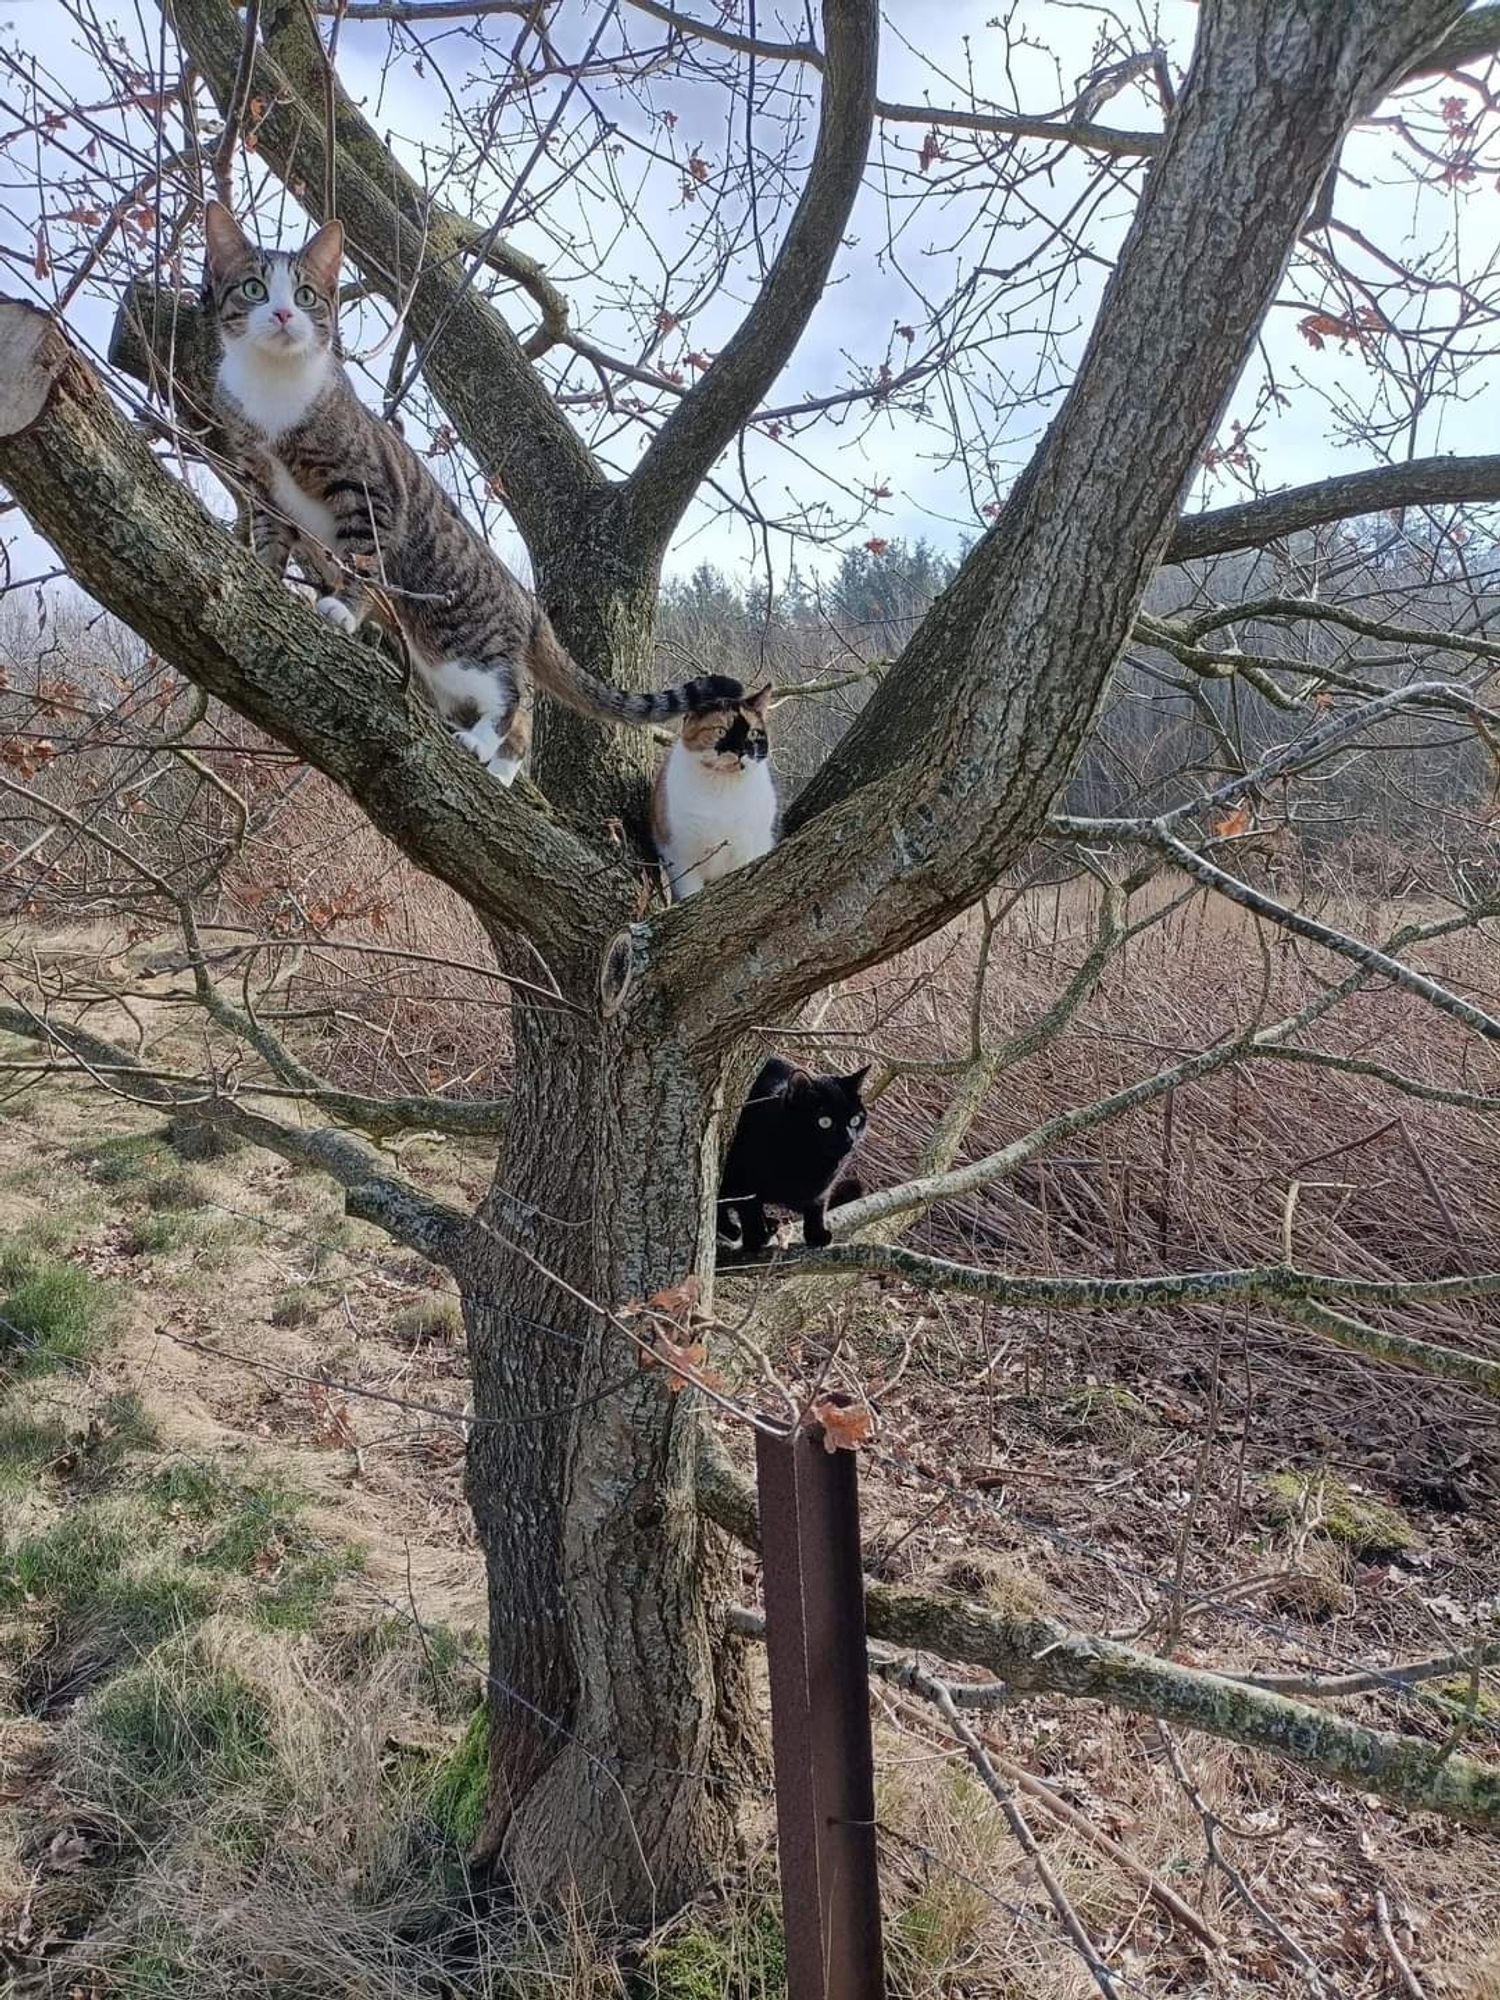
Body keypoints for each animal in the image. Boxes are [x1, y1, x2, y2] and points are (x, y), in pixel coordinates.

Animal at [203, 203, 744, 780]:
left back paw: (482, 743)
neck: (274, 393)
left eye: (305, 294)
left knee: (517, 695)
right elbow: (269, 535)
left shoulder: (370, 489)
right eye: (255, 289)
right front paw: (261, 568)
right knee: (519, 719)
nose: (284, 314)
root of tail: (526, 602)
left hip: (463, 640)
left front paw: (343, 608)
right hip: (440, 661)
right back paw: (500, 767)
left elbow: (364, 559)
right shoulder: (260, 481)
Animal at [652, 692, 780, 904]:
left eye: (753, 733)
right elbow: (690, 893)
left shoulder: (744, 851)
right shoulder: (680, 858)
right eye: (721, 731)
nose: (741, 750)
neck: (723, 786)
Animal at [724, 1064, 876, 1248]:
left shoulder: (823, 1188)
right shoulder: (742, 1176)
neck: (807, 1158)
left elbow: (817, 1206)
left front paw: (816, 1235)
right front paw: (756, 1239)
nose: (849, 1139)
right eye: (825, 1121)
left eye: (854, 1120)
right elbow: (749, 1208)